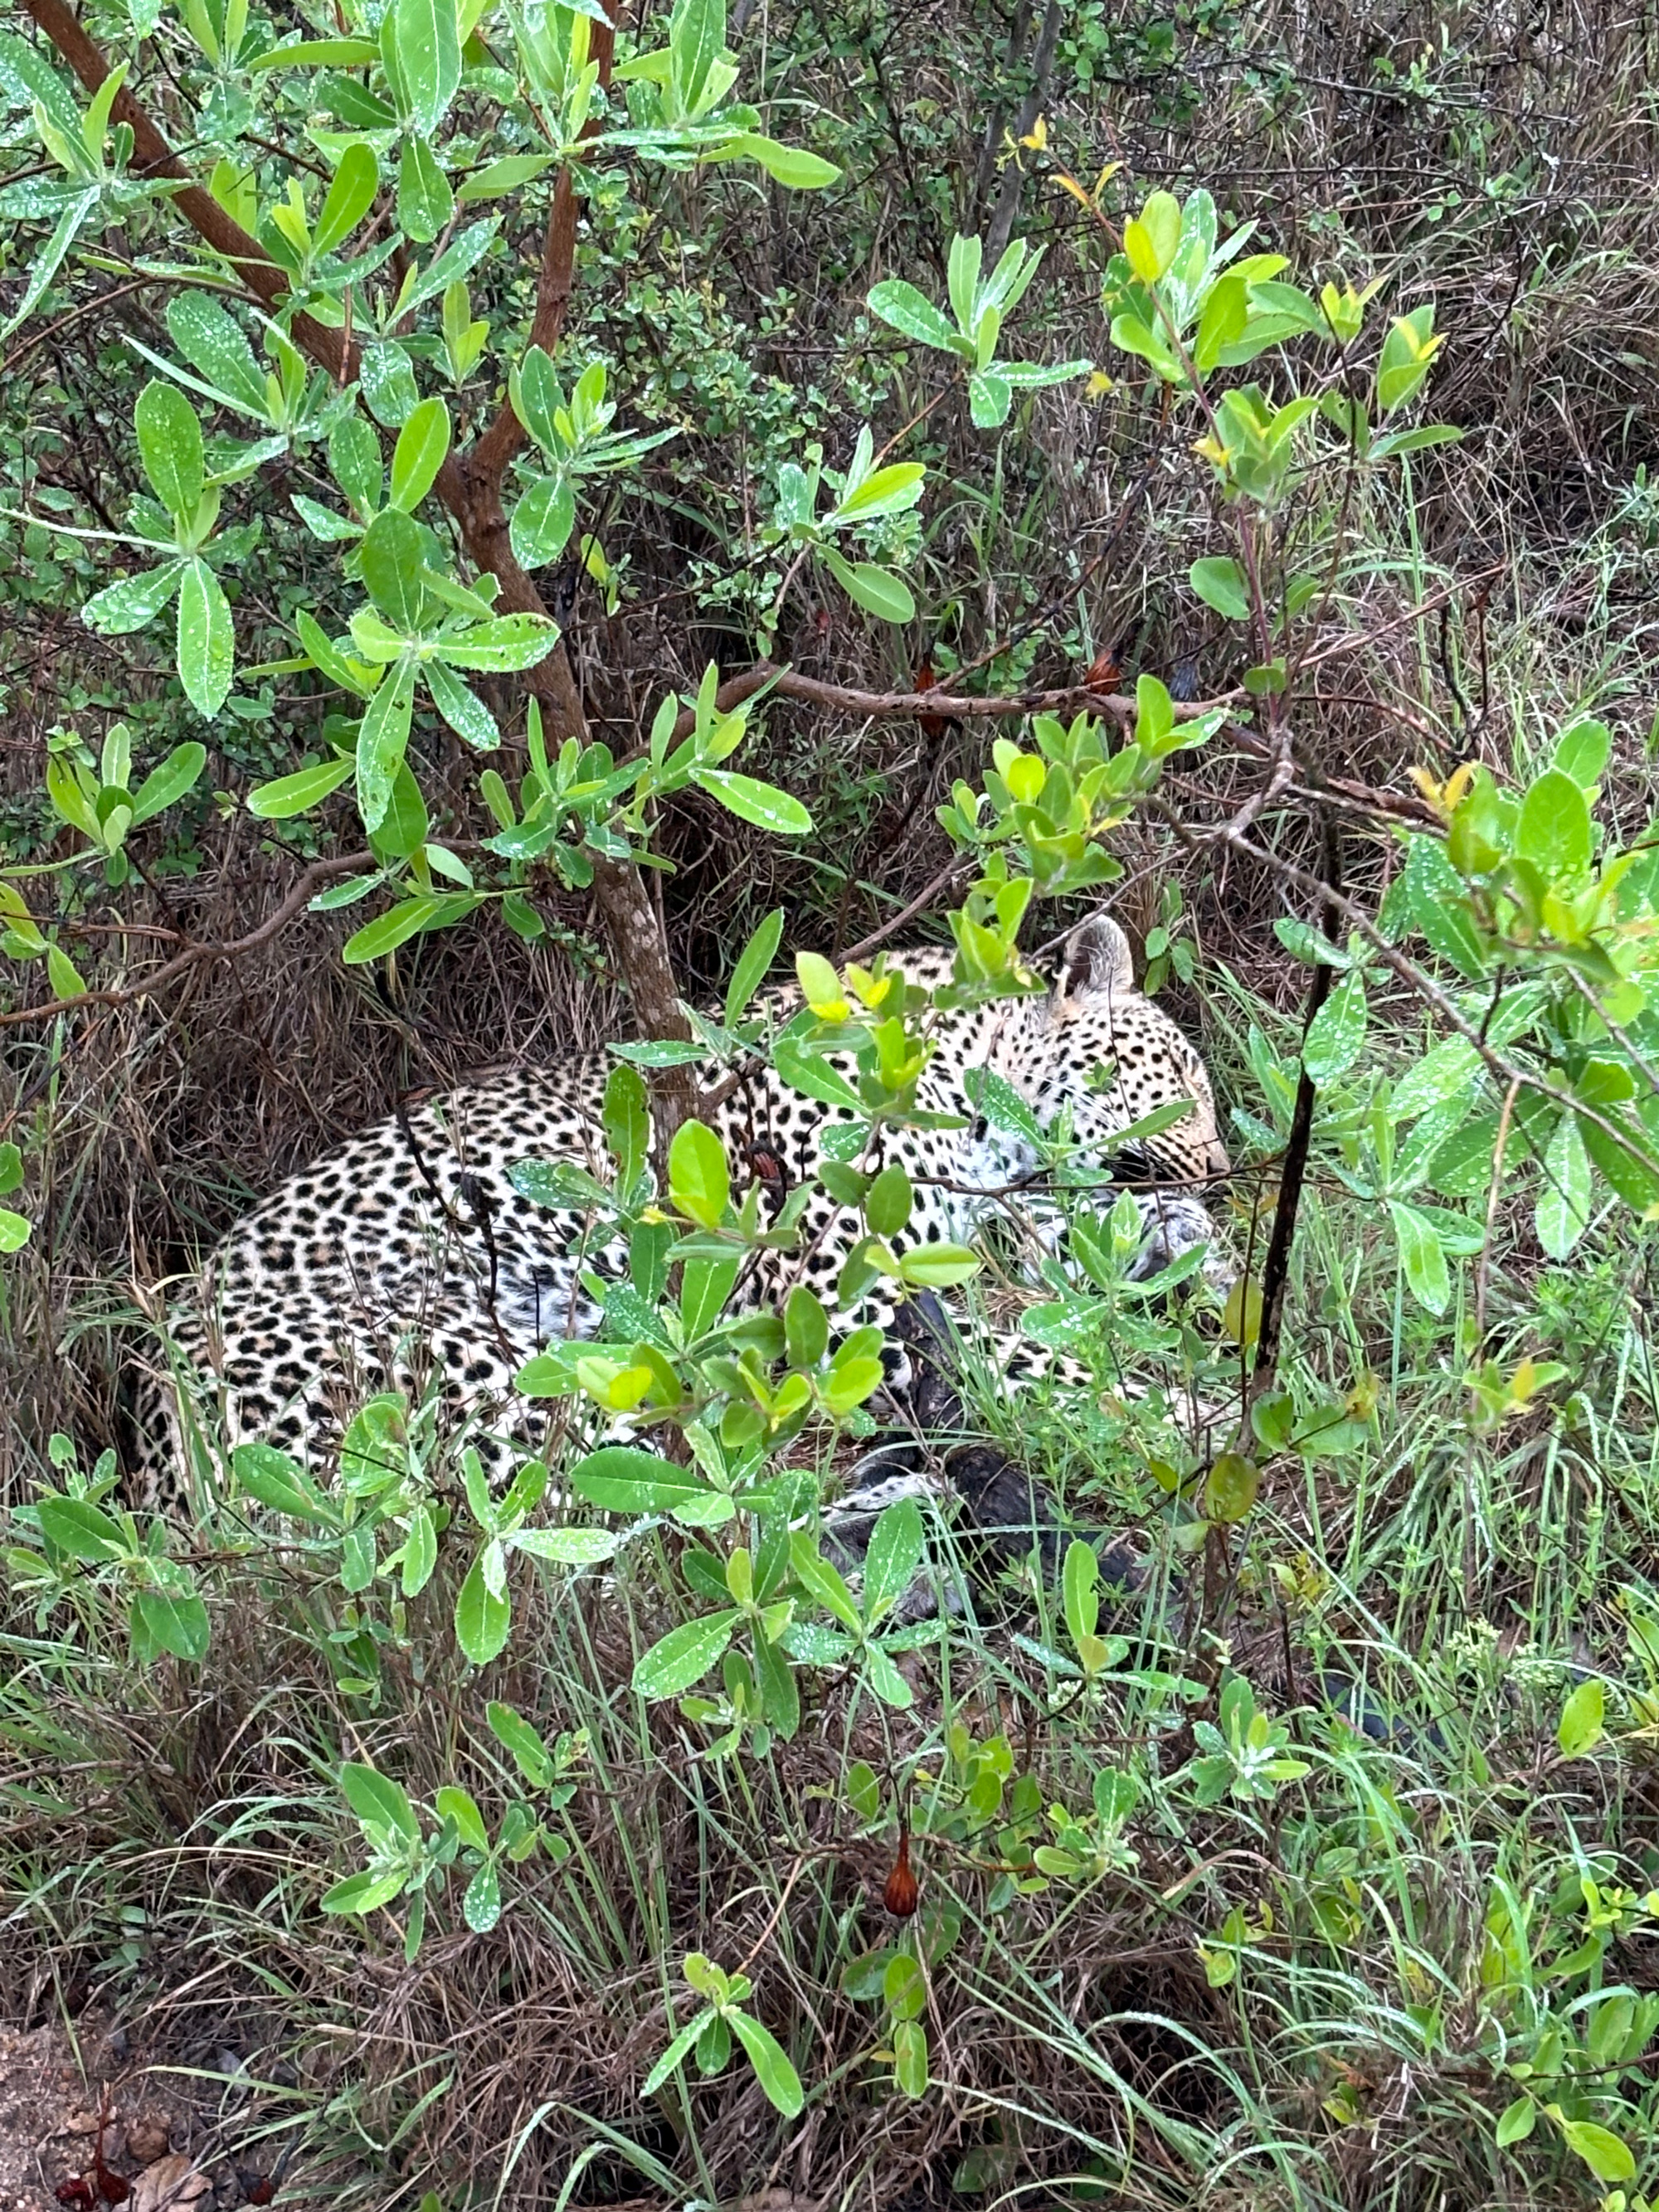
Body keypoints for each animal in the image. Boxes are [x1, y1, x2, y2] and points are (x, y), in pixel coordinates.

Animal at [129, 907, 1238, 1513]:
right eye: (1184, 1074)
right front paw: (1202, 1419)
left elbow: (1060, 1284)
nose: (1225, 1170)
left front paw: (1197, 1276)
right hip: (495, 1373)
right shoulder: (842, 1311)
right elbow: (1045, 1363)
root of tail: (156, 1466)